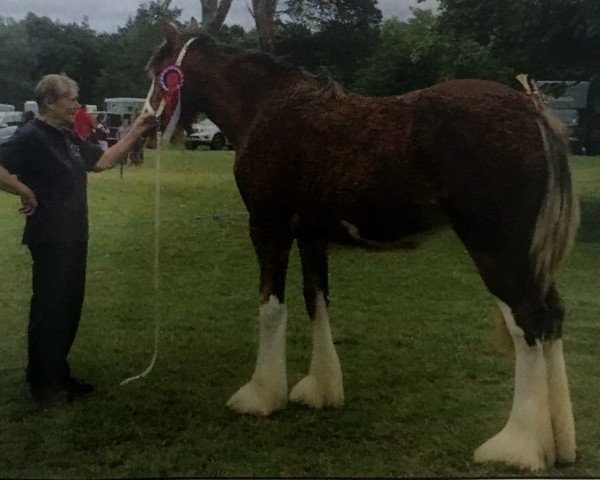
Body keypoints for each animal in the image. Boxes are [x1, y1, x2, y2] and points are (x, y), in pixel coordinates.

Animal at [143, 23, 580, 472]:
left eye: (156, 72)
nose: (149, 125)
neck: (266, 107)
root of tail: (532, 111)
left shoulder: (269, 228)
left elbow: (271, 308)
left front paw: (260, 396)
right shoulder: (311, 236)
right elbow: (316, 300)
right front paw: (320, 388)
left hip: (497, 249)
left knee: (527, 322)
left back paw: (517, 446)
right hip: (528, 257)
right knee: (552, 315)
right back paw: (558, 444)